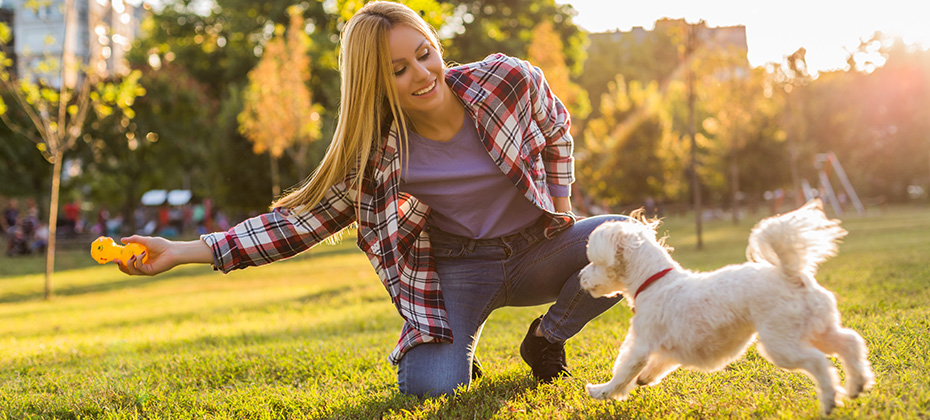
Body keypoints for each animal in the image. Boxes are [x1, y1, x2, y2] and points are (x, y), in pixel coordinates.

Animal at [580, 200, 872, 414]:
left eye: (594, 262)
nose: (581, 276)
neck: (654, 282)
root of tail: (791, 275)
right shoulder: (670, 346)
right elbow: (657, 364)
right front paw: (645, 378)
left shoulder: (641, 342)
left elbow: (624, 370)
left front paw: (602, 391)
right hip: (817, 327)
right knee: (850, 342)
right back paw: (857, 384)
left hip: (781, 342)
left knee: (819, 361)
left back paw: (830, 399)